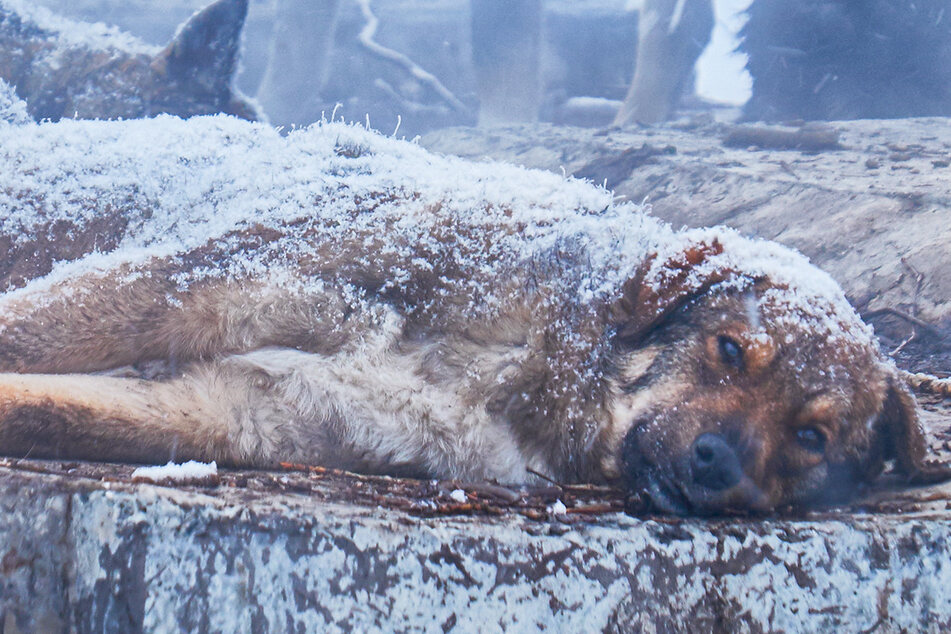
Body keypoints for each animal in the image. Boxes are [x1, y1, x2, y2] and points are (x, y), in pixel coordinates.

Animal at [0, 112, 940, 512]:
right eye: (730, 350)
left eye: (810, 436)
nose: (717, 467)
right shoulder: (192, 284)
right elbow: (29, 333)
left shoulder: (238, 409)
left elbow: (47, 408)